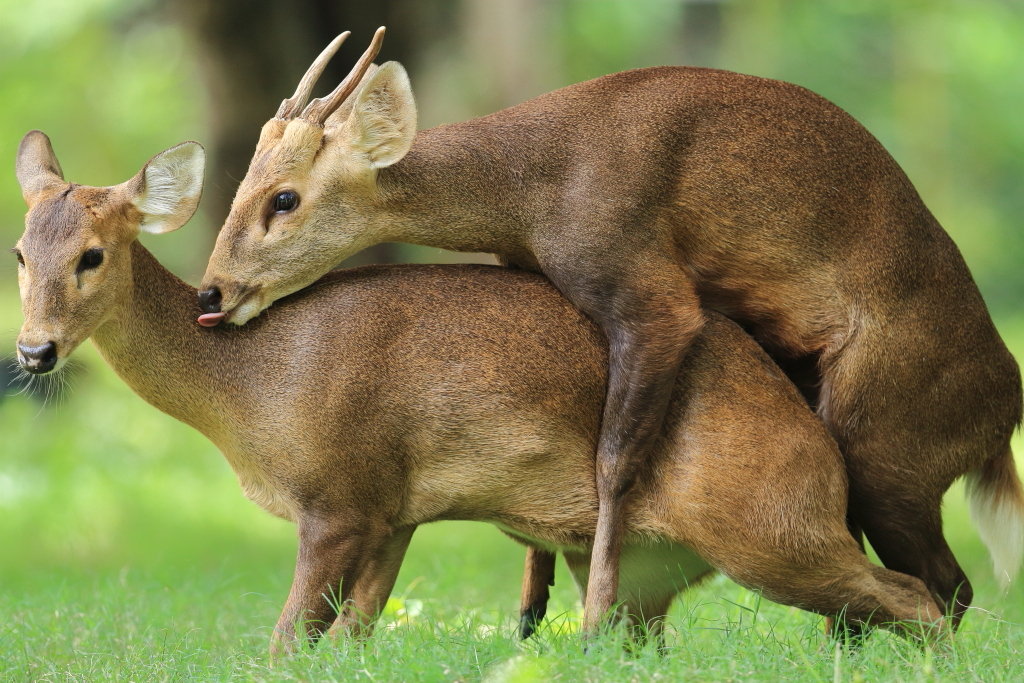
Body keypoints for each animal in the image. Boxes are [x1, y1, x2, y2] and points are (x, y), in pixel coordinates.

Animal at [16, 132, 970, 651]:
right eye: (21, 250)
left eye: (92, 254)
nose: (33, 350)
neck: (250, 386)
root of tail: (818, 446)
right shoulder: (394, 510)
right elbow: (351, 638)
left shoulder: (339, 499)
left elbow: (288, 642)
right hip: (641, 562)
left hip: (766, 523)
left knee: (924, 598)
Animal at [197, 30, 1024, 630]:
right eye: (238, 185)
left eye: (284, 198)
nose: (211, 291)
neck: (531, 187)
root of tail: (1003, 412)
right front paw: (529, 613)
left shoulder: (648, 291)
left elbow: (614, 462)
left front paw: (593, 614)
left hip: (889, 446)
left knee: (949, 583)